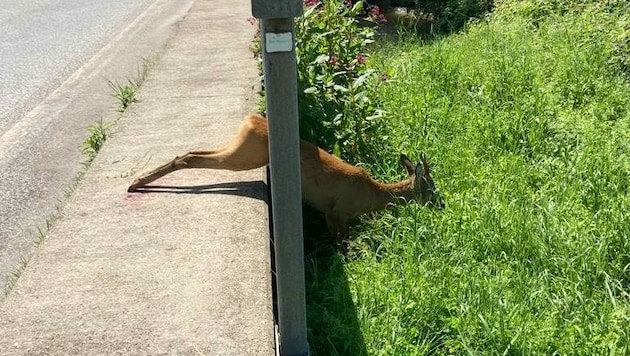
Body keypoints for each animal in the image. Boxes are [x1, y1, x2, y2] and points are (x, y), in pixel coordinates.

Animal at [128, 112, 444, 238]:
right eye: (432, 188)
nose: (442, 205)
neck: (373, 194)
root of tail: (253, 119)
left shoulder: (328, 212)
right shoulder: (338, 211)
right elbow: (340, 244)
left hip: (240, 146)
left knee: (192, 151)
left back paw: (137, 182)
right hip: (249, 154)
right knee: (192, 158)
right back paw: (136, 183)